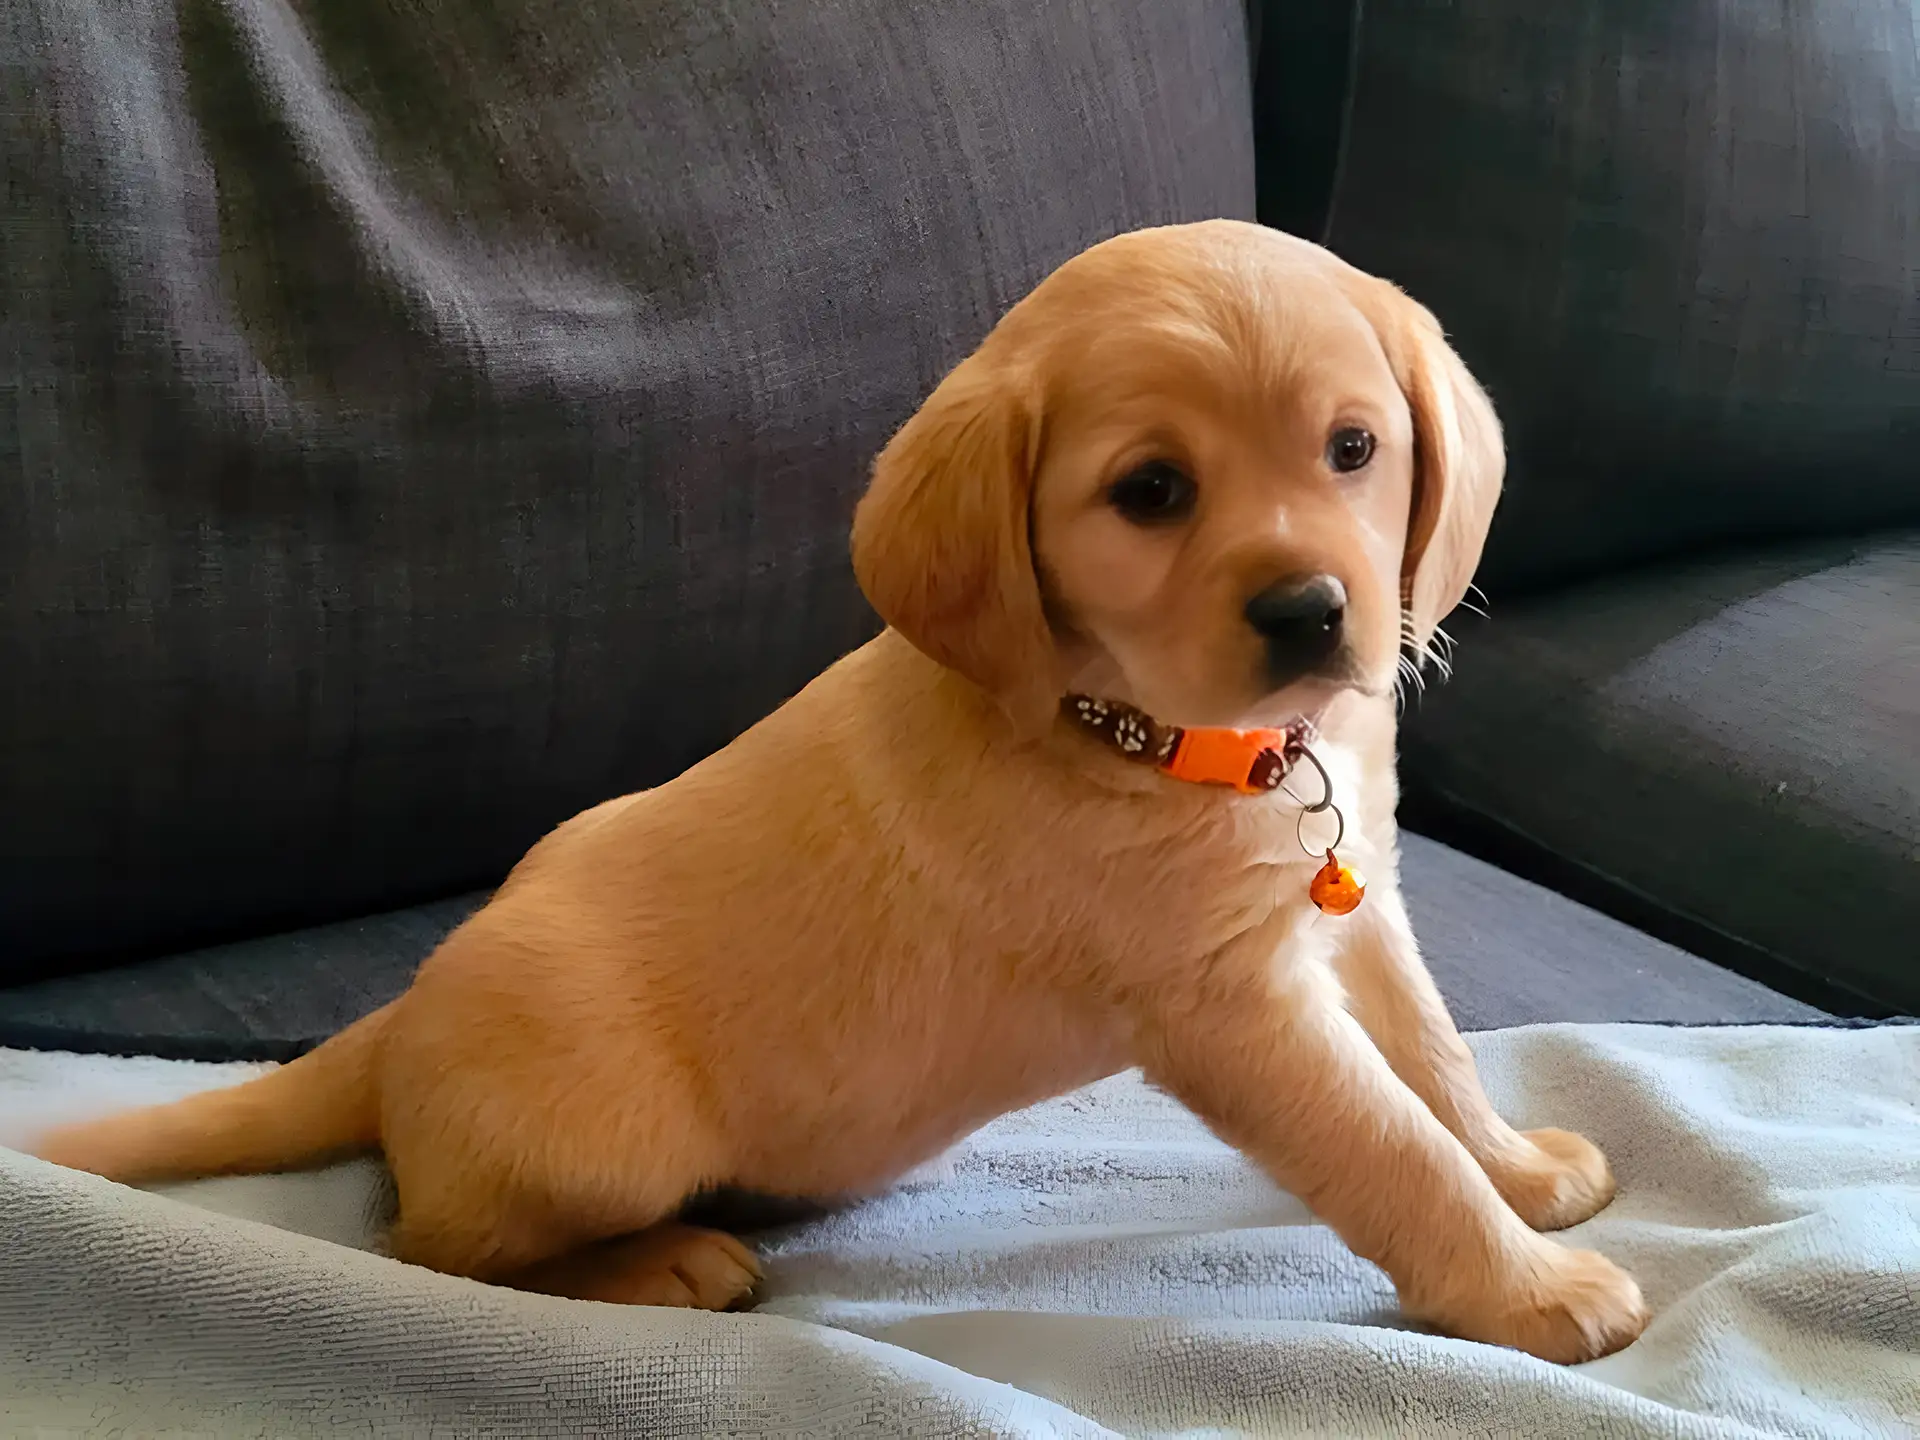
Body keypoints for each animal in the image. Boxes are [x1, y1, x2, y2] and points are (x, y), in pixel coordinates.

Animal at [33, 222, 1651, 1367]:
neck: (1149, 733)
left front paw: (1517, 1171)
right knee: (422, 1247)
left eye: (1355, 449)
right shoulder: (1232, 1010)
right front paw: (1533, 1292)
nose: (1314, 613)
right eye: (1150, 494)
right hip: (598, 1133)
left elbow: (1434, 1060)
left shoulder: (1356, 905)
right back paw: (658, 1263)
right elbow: (1390, 1149)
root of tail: (396, 1019)